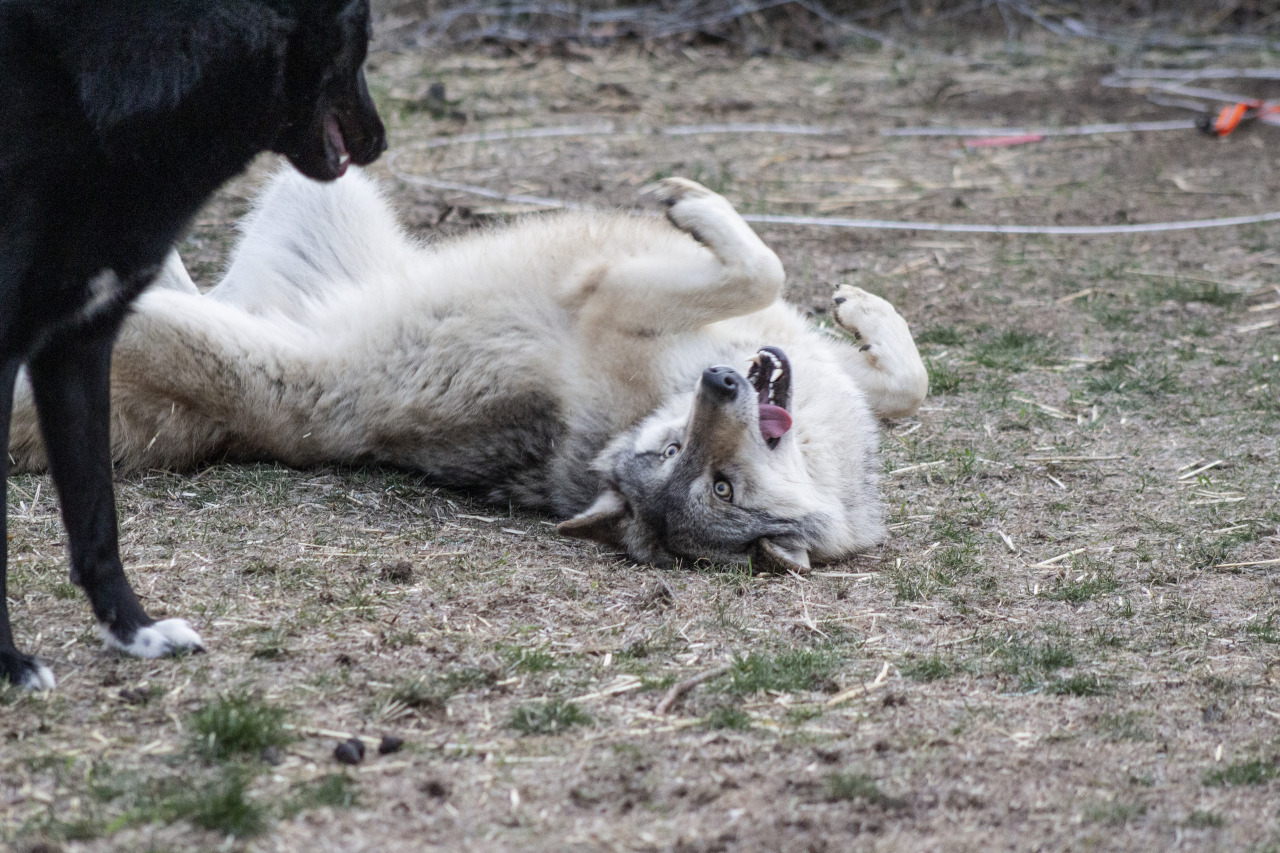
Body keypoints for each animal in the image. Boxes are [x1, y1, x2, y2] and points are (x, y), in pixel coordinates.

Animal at [0, 0, 386, 686]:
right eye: (362, 38)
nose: (381, 138)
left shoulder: (76, 347)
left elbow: (97, 517)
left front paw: (135, 631)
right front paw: (10, 662)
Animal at [10, 171, 931, 571]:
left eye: (723, 488)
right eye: (671, 452)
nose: (722, 386)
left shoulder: (618, 301)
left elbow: (764, 270)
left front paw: (698, 208)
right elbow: (893, 378)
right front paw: (860, 306)